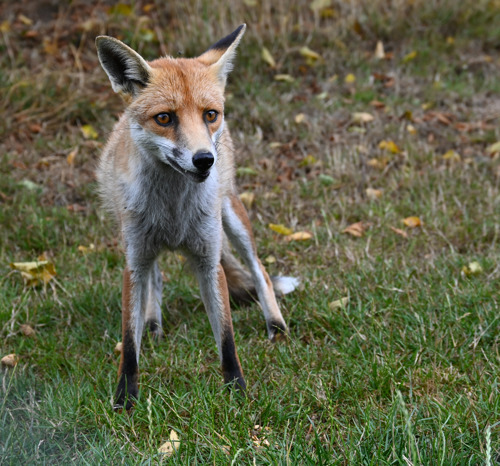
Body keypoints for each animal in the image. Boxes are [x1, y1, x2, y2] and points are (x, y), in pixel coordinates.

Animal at [95, 25, 298, 410]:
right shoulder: (133, 262)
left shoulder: (209, 260)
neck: (173, 208)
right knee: (157, 279)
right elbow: (129, 343)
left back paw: (276, 326)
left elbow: (227, 339)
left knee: (259, 270)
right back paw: (153, 325)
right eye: (164, 118)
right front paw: (125, 399)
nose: (205, 160)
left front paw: (237, 391)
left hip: (231, 217)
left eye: (209, 114)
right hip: (141, 243)